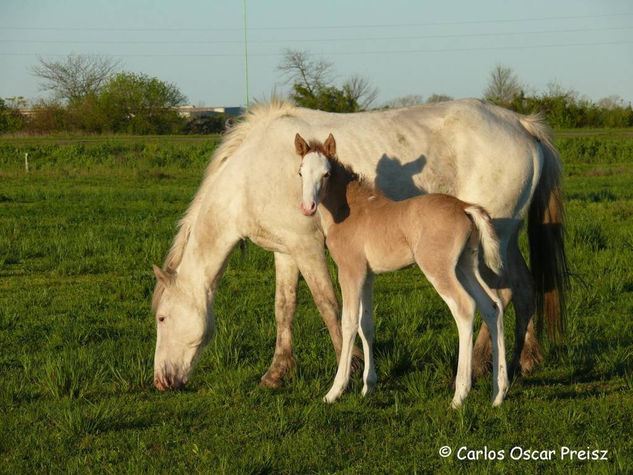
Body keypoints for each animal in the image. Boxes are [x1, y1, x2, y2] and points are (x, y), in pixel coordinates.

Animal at [296, 132, 508, 408]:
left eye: (326, 174)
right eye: (301, 172)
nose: (308, 207)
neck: (350, 211)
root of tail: (464, 207)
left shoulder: (350, 270)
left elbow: (349, 323)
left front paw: (335, 390)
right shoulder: (368, 275)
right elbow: (366, 324)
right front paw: (368, 387)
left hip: (438, 267)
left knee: (465, 307)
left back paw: (460, 395)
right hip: (465, 265)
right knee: (492, 306)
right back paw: (498, 394)